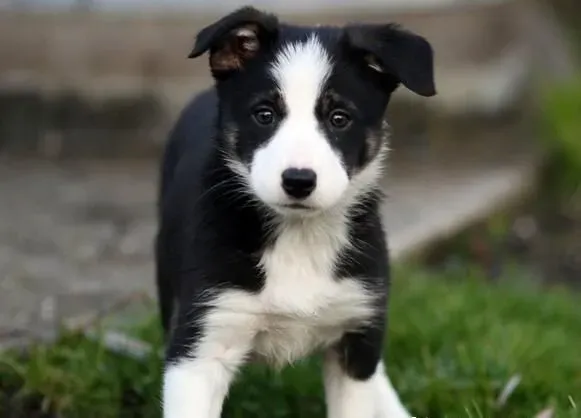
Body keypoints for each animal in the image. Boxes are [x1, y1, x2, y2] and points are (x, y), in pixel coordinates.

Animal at [154, 4, 436, 416]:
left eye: (339, 118)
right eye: (265, 114)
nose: (299, 180)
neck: (299, 235)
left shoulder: (356, 328)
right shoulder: (202, 343)